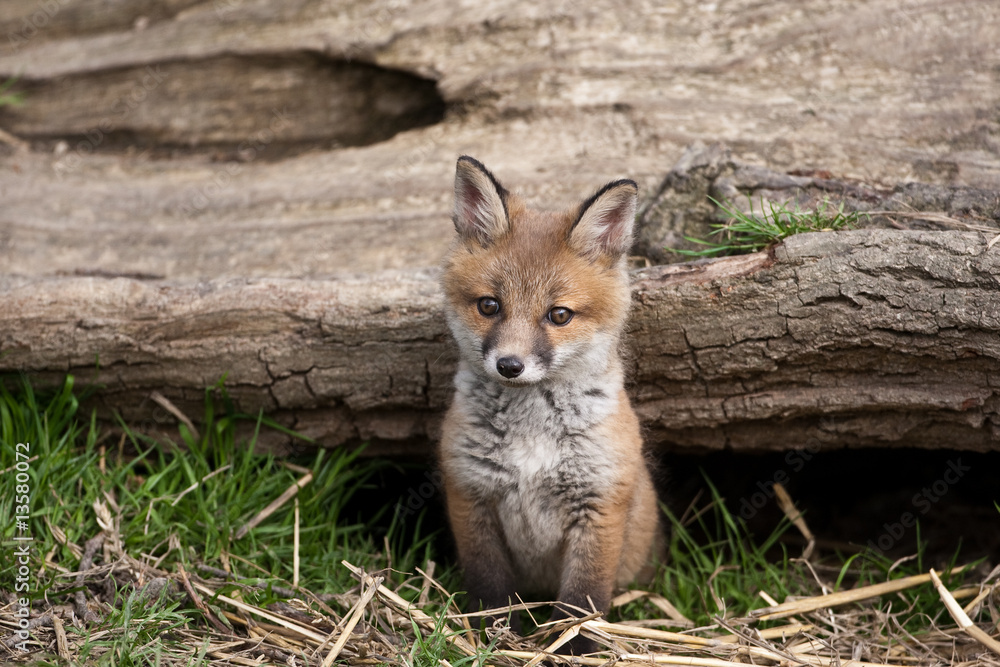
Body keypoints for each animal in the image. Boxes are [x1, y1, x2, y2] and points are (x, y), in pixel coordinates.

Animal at [438, 156, 662, 654]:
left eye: (559, 315)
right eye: (489, 306)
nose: (509, 365)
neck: (532, 437)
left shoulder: (600, 502)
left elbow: (583, 597)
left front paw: (572, 647)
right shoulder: (471, 495)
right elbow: (490, 587)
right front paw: (494, 635)